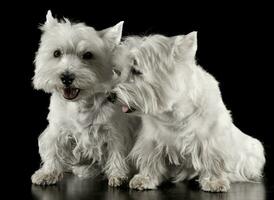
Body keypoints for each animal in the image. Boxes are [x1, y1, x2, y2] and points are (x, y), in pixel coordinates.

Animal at [31, 10, 137, 186]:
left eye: (88, 55)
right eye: (56, 53)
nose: (66, 77)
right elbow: (53, 149)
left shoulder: (114, 131)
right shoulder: (57, 129)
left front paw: (117, 175)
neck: (80, 104)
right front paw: (48, 173)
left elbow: (117, 151)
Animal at [109, 32, 266, 191]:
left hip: (254, 149)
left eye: (136, 71)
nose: (110, 96)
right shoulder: (150, 139)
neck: (173, 114)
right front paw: (144, 178)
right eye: (119, 71)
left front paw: (214, 182)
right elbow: (150, 158)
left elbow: (212, 158)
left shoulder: (211, 138)